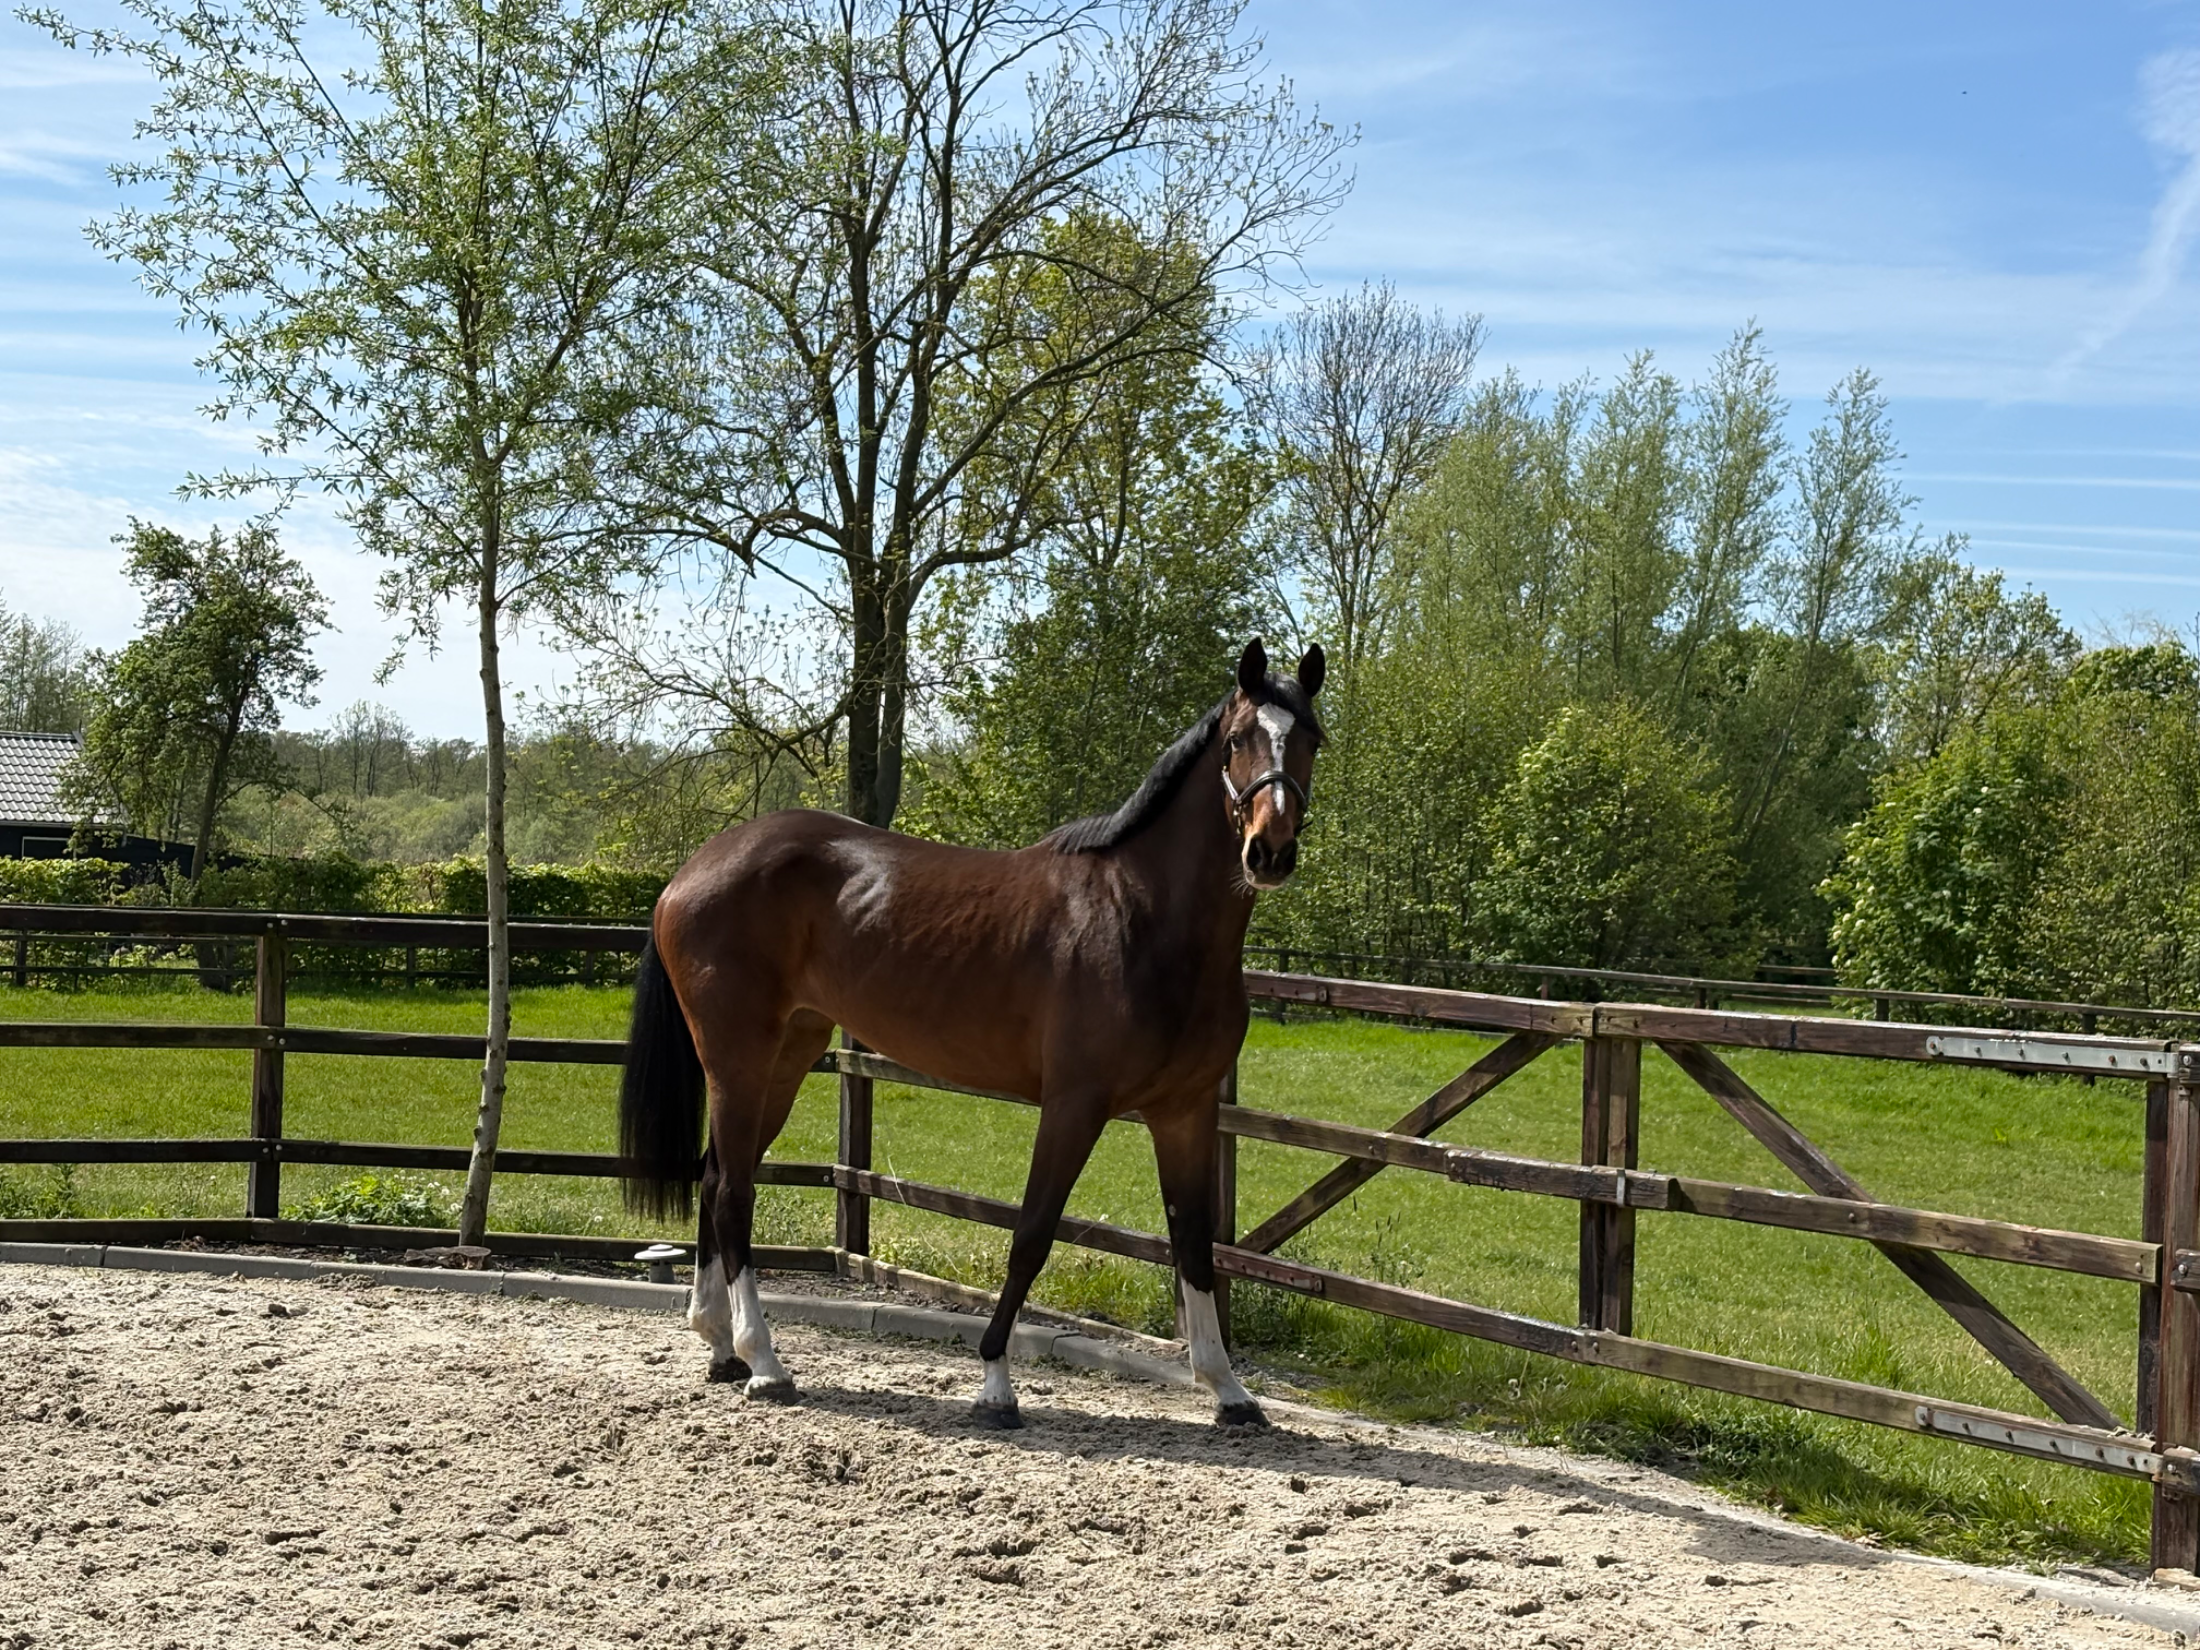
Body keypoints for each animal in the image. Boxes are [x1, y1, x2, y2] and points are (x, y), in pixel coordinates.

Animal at [618, 637, 1325, 1428]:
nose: (1270, 850)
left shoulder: (1186, 1112)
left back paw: (720, 1346)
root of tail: (692, 870)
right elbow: (1032, 1234)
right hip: (738, 1058)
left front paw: (1228, 1391)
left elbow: (1194, 1244)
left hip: (786, 1055)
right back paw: (765, 1362)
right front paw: (995, 1383)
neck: (1140, 919)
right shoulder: (1074, 1104)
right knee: (734, 1191)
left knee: (716, 1177)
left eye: (1312, 741)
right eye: (1238, 740)